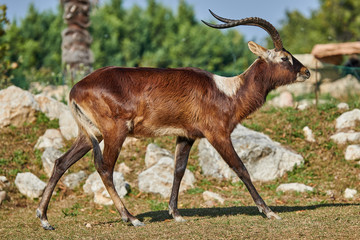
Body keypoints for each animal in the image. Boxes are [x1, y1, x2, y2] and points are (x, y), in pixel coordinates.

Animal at [38, 10, 310, 230]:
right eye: (284, 57)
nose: (306, 71)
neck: (227, 92)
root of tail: (76, 88)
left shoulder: (186, 136)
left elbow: (178, 170)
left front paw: (176, 213)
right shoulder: (218, 134)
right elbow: (241, 168)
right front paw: (268, 211)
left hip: (89, 135)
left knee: (61, 163)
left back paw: (44, 219)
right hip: (115, 132)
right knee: (104, 168)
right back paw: (131, 218)